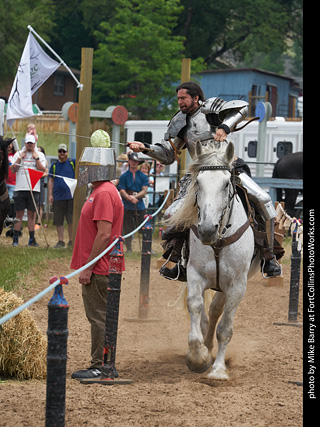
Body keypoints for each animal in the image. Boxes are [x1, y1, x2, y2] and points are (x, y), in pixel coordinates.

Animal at [169, 141, 262, 382]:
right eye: (198, 183)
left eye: (226, 183)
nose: (207, 230)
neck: (218, 240)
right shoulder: (195, 275)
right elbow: (194, 306)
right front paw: (198, 357)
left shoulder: (237, 285)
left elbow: (225, 328)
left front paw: (218, 370)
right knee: (206, 313)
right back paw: (206, 346)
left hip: (226, 286)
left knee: (216, 310)